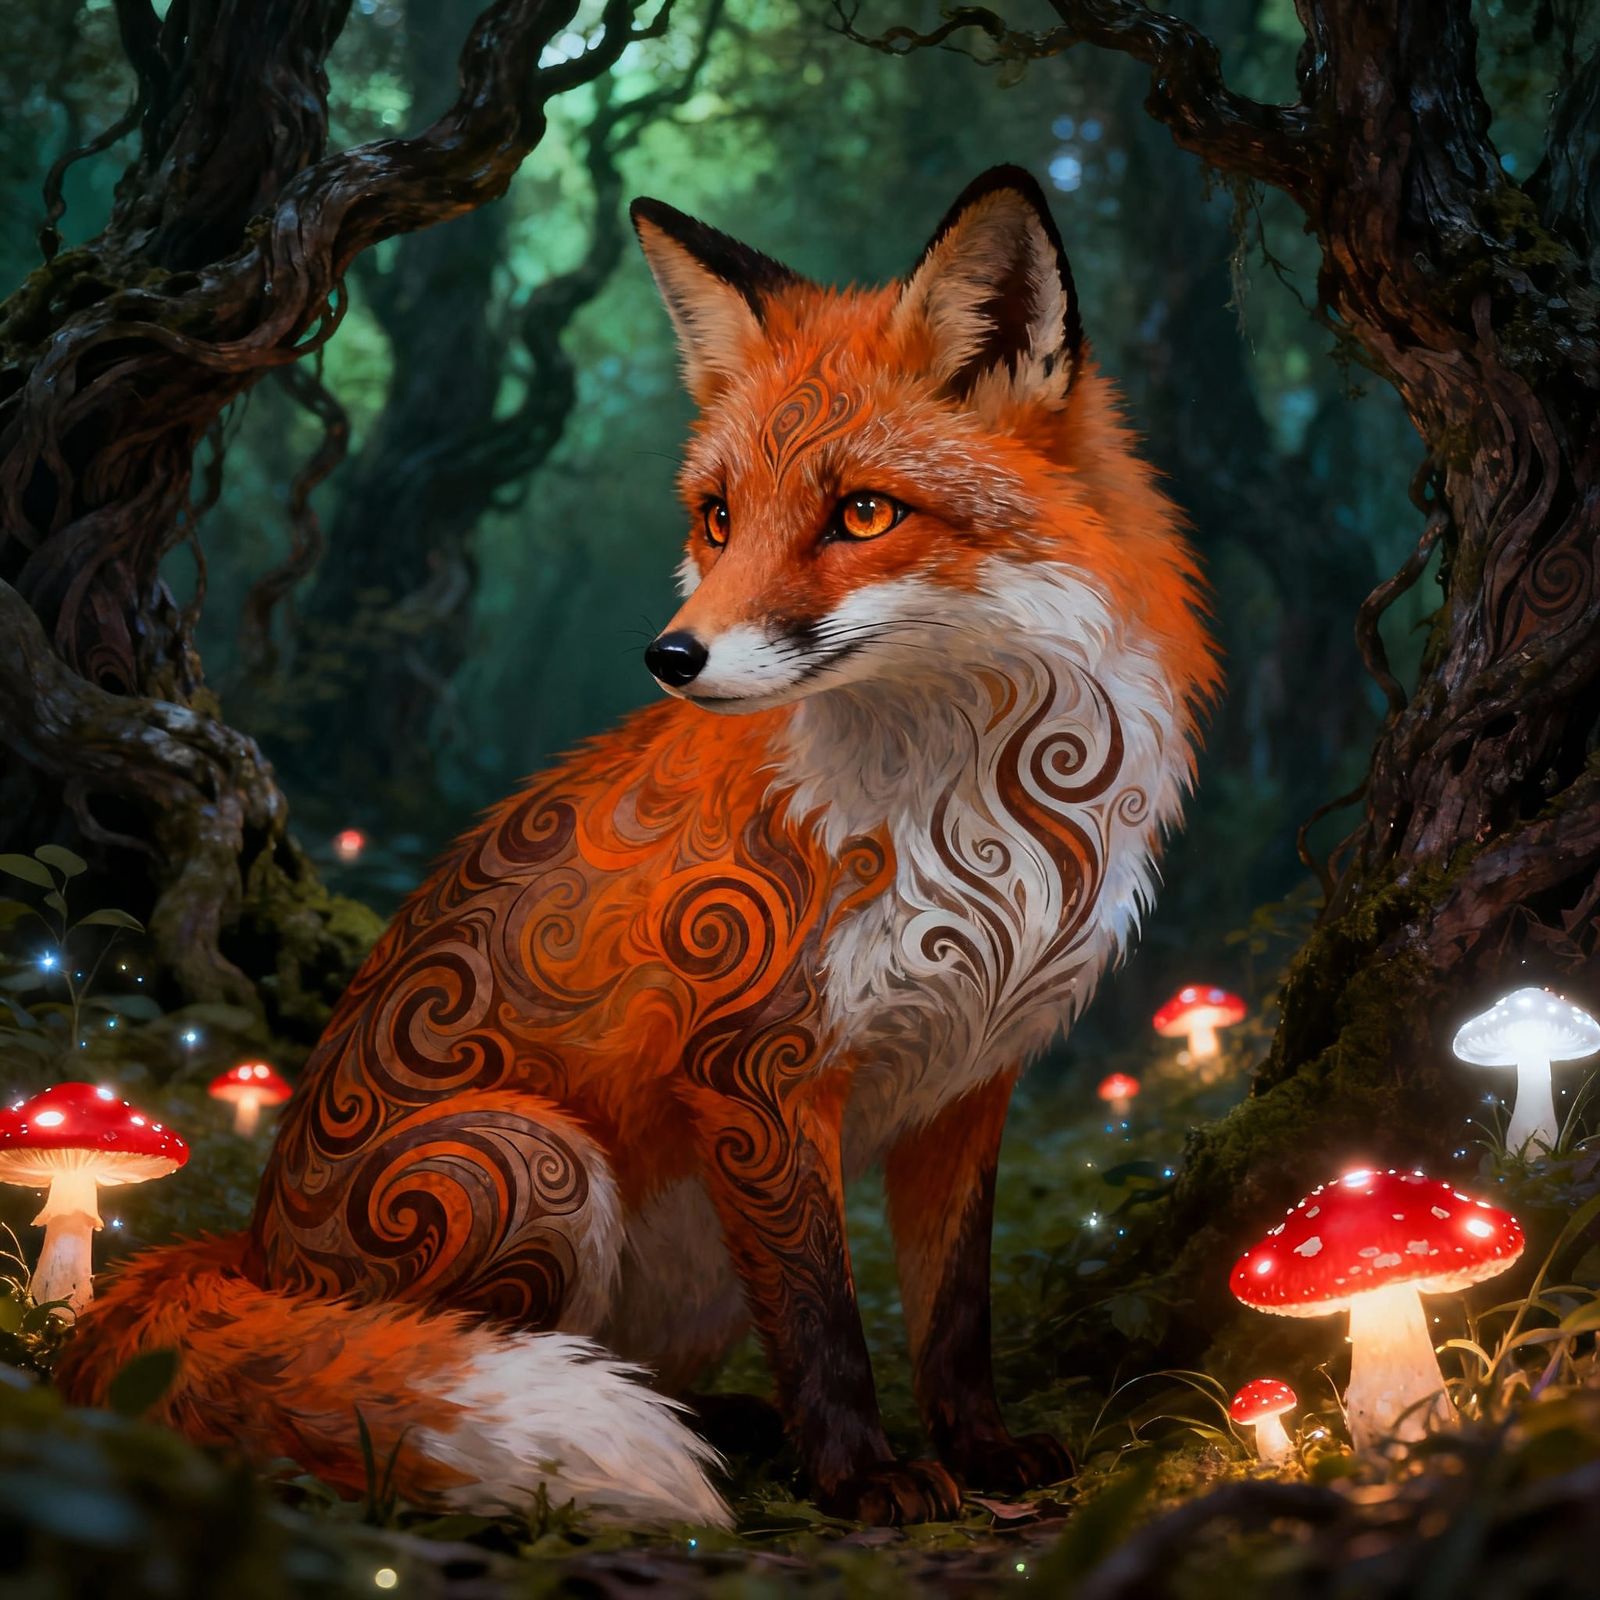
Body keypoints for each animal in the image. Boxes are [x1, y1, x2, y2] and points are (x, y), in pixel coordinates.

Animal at [56, 167, 1217, 1528]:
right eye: (717, 518)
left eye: (863, 512)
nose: (671, 657)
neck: (974, 817)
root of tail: (248, 1251)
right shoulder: (755, 1069)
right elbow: (824, 1317)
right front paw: (863, 1475)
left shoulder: (968, 1082)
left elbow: (952, 1312)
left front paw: (976, 1451)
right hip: (521, 1162)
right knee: (436, 1356)